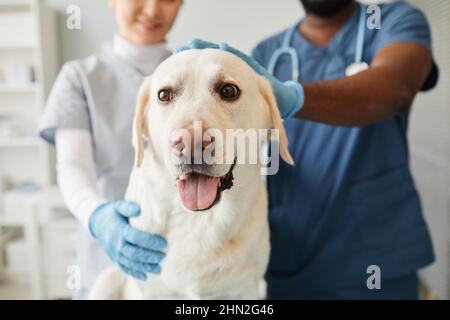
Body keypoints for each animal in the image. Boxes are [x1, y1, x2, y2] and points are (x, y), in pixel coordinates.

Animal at [89, 48, 294, 298]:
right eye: (164, 95)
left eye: (228, 90)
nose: (191, 143)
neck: (198, 221)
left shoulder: (245, 290)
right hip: (106, 281)